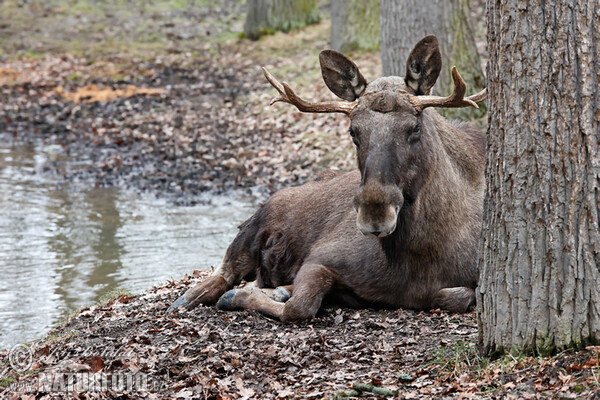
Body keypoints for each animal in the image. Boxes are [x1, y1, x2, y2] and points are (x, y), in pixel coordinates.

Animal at [170, 35, 488, 322]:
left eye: (415, 128)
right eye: (353, 131)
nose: (374, 215)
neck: (422, 259)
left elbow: (455, 295)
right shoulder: (320, 258)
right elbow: (299, 307)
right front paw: (239, 296)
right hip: (255, 225)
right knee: (222, 273)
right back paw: (189, 298)